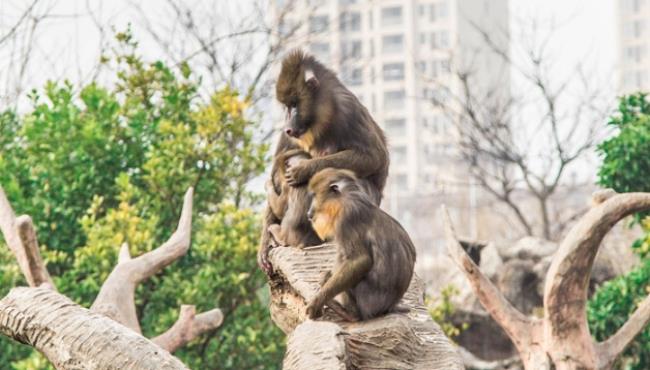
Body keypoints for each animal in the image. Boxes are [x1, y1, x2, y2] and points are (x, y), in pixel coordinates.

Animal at [274, 49, 388, 205]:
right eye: (287, 107)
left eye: (294, 104)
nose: (288, 129)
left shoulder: (348, 110)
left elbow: (375, 157)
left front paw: (304, 169)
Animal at [304, 168, 416, 320]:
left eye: (315, 196)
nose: (309, 212)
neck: (347, 199)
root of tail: (388, 307)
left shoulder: (346, 219)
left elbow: (360, 260)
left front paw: (317, 301)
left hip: (366, 300)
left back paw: (350, 313)